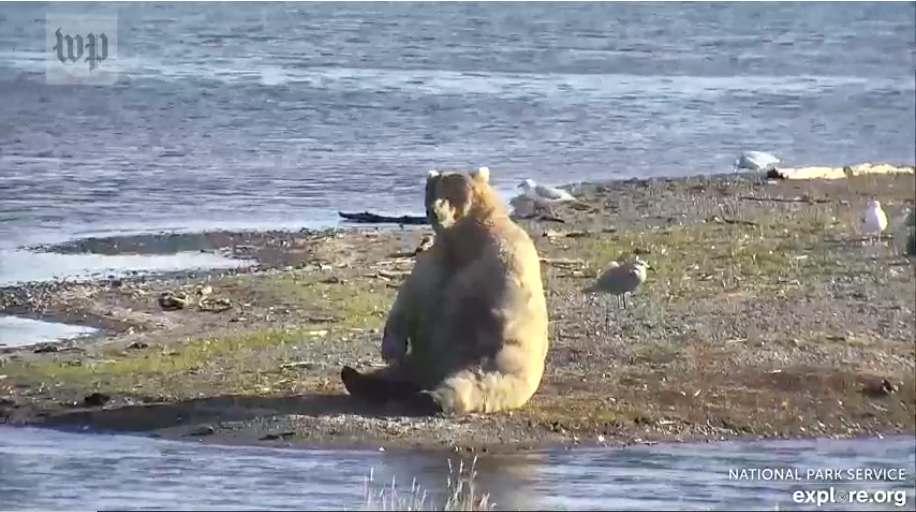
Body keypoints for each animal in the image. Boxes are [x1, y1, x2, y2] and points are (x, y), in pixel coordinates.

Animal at [340, 165, 551, 415]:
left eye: (451, 192)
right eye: (431, 191)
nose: (434, 211)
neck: (462, 241)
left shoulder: (501, 262)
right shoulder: (434, 261)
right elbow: (410, 299)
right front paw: (391, 349)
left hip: (504, 367)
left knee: (477, 380)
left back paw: (432, 397)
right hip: (420, 360)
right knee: (399, 372)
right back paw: (355, 377)